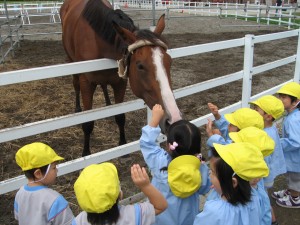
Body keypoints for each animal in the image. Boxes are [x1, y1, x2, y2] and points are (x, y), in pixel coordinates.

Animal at [60, 0, 182, 156]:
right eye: (140, 66)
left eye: (169, 62)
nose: (173, 119)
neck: (98, 40)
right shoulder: (86, 83)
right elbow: (87, 123)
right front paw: (86, 153)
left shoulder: (120, 82)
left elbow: (120, 116)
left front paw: (122, 145)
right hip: (72, 63)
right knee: (76, 85)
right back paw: (77, 108)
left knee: (103, 85)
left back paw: (108, 103)